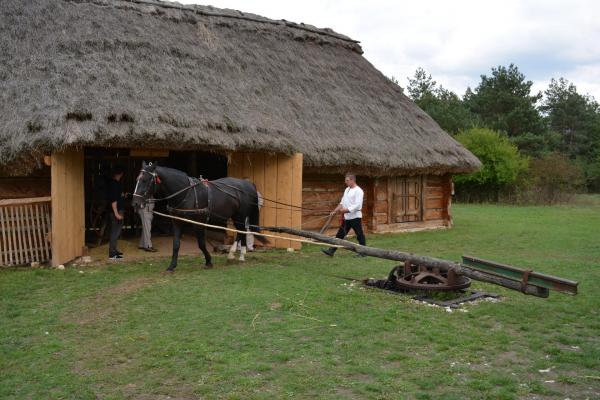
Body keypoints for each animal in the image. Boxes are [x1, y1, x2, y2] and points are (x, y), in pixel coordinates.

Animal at [132, 162, 266, 272]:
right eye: (137, 179)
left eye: (145, 180)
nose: (135, 203)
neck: (185, 193)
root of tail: (248, 184)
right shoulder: (177, 221)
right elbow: (176, 244)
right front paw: (172, 266)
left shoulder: (198, 222)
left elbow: (201, 243)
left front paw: (208, 261)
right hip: (235, 216)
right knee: (240, 231)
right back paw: (235, 255)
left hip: (240, 215)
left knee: (242, 231)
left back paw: (238, 255)